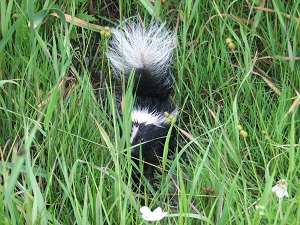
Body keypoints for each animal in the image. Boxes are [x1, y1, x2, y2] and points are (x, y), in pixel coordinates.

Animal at [106, 21, 177, 186]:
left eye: (143, 139)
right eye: (128, 134)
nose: (132, 149)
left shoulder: (156, 141)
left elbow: (151, 160)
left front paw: (147, 179)